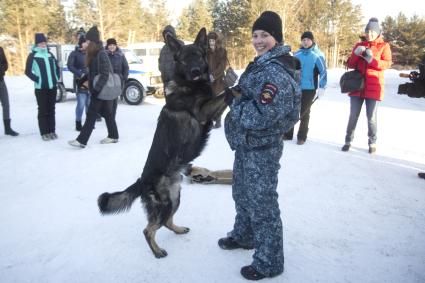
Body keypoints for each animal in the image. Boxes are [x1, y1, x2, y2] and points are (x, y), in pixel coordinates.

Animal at [97, 28, 229, 260]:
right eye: (184, 60)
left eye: (198, 56)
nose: (196, 71)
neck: (190, 85)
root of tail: (141, 181)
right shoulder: (204, 112)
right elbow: (227, 92)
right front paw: (239, 87)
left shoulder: (210, 113)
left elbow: (223, 97)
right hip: (166, 203)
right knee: (148, 229)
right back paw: (157, 251)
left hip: (175, 199)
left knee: (166, 222)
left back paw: (178, 230)